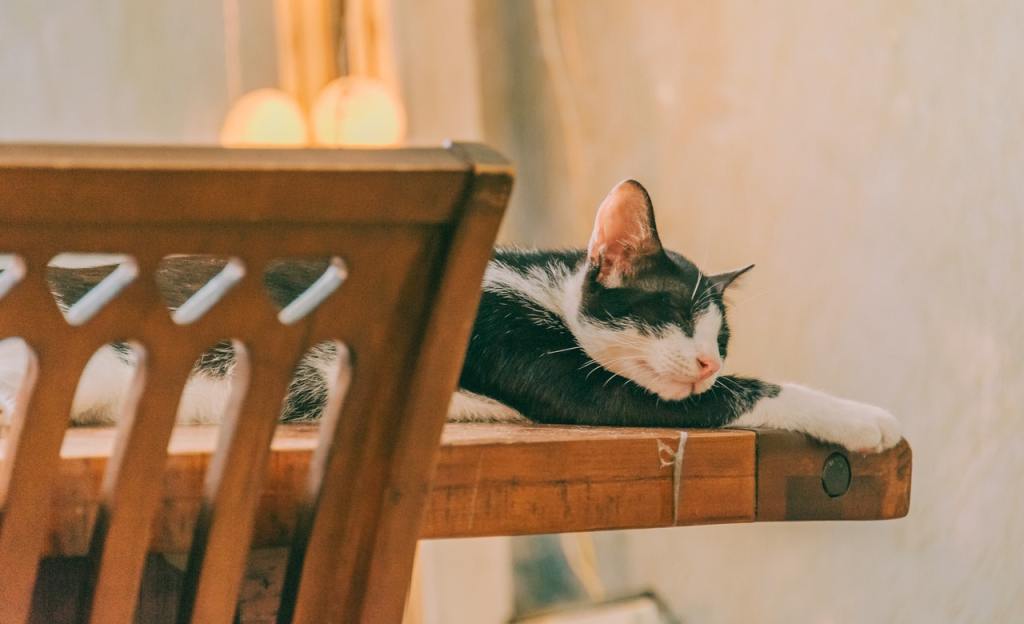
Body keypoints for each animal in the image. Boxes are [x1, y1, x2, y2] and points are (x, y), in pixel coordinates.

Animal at [0, 180, 897, 452]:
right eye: (676, 315)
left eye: (722, 334)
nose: (708, 360)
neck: (541, 293)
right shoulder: (555, 372)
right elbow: (753, 395)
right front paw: (868, 418)